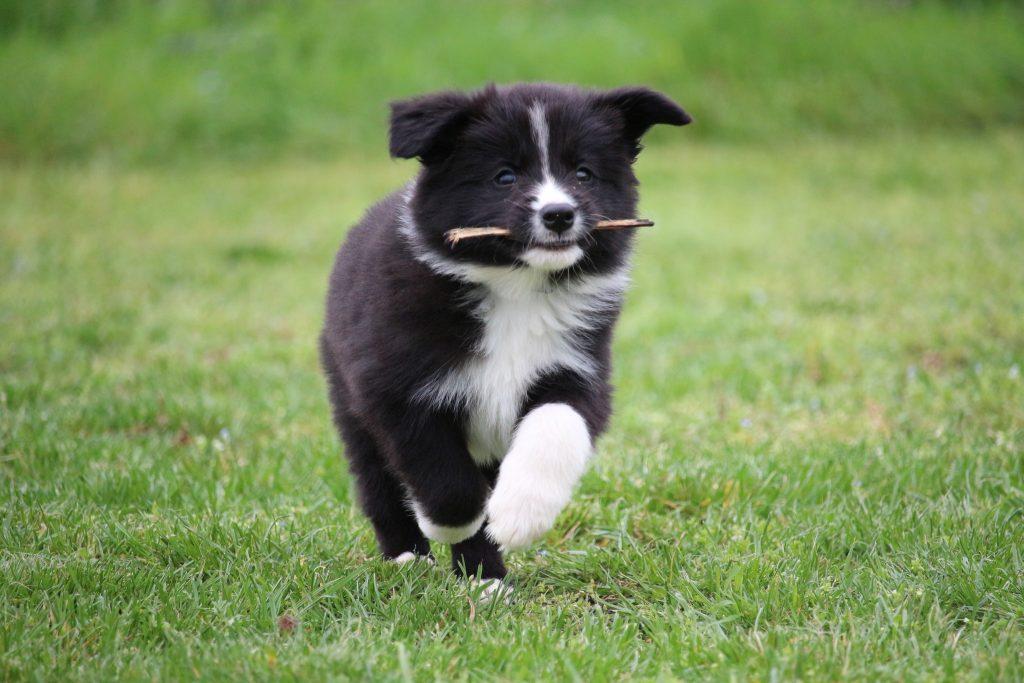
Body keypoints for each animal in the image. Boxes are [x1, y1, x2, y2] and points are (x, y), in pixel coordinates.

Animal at [320, 83, 690, 587]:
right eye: (504, 176)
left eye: (584, 173)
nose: (559, 214)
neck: (517, 288)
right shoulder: (394, 384)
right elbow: (439, 470)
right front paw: (451, 522)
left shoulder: (579, 367)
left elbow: (557, 424)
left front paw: (518, 515)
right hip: (347, 398)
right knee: (378, 482)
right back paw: (411, 557)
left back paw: (486, 578)